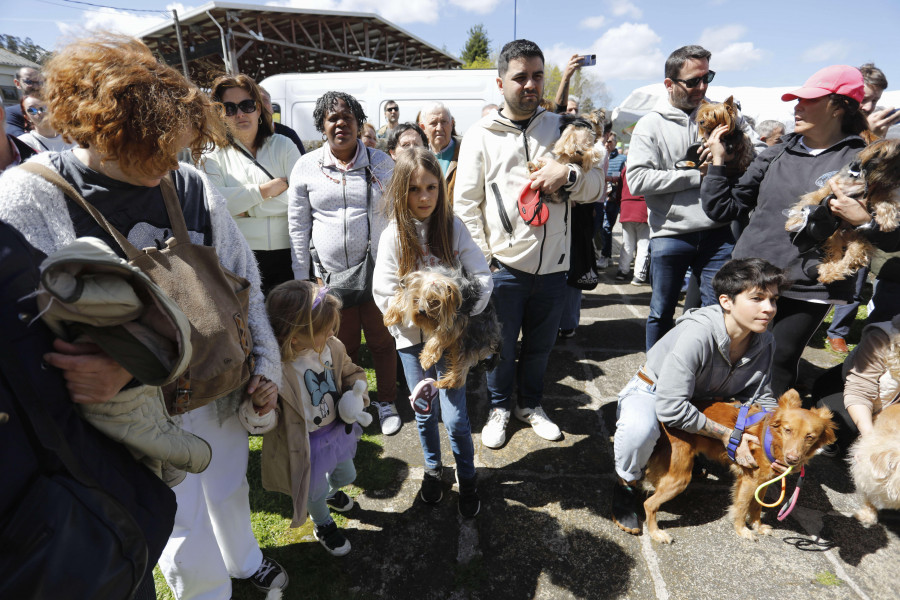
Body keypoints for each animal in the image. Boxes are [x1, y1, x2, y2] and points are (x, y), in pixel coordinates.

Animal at [644, 390, 832, 544]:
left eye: (810, 437)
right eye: (788, 430)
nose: (792, 459)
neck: (771, 438)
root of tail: (661, 421)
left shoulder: (763, 481)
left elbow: (756, 506)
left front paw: (757, 526)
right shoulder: (750, 480)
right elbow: (742, 507)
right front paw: (742, 530)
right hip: (680, 478)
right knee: (649, 504)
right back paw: (656, 533)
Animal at [784, 138, 900, 284]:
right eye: (895, 166)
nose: (898, 180)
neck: (863, 179)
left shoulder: (879, 191)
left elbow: (886, 202)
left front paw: (887, 221)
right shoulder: (830, 187)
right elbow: (811, 198)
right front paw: (795, 220)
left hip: (860, 242)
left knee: (849, 261)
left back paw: (832, 273)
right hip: (834, 237)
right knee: (836, 254)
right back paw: (828, 271)